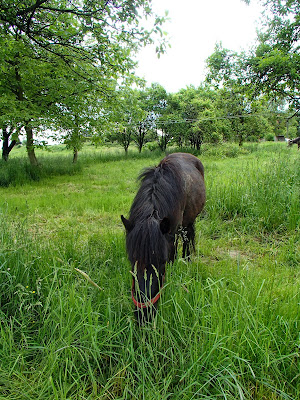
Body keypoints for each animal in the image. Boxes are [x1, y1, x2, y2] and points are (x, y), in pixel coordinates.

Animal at [120, 152, 205, 324]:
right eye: (132, 261)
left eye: (161, 262)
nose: (144, 317)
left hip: (189, 221)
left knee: (187, 240)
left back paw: (186, 260)